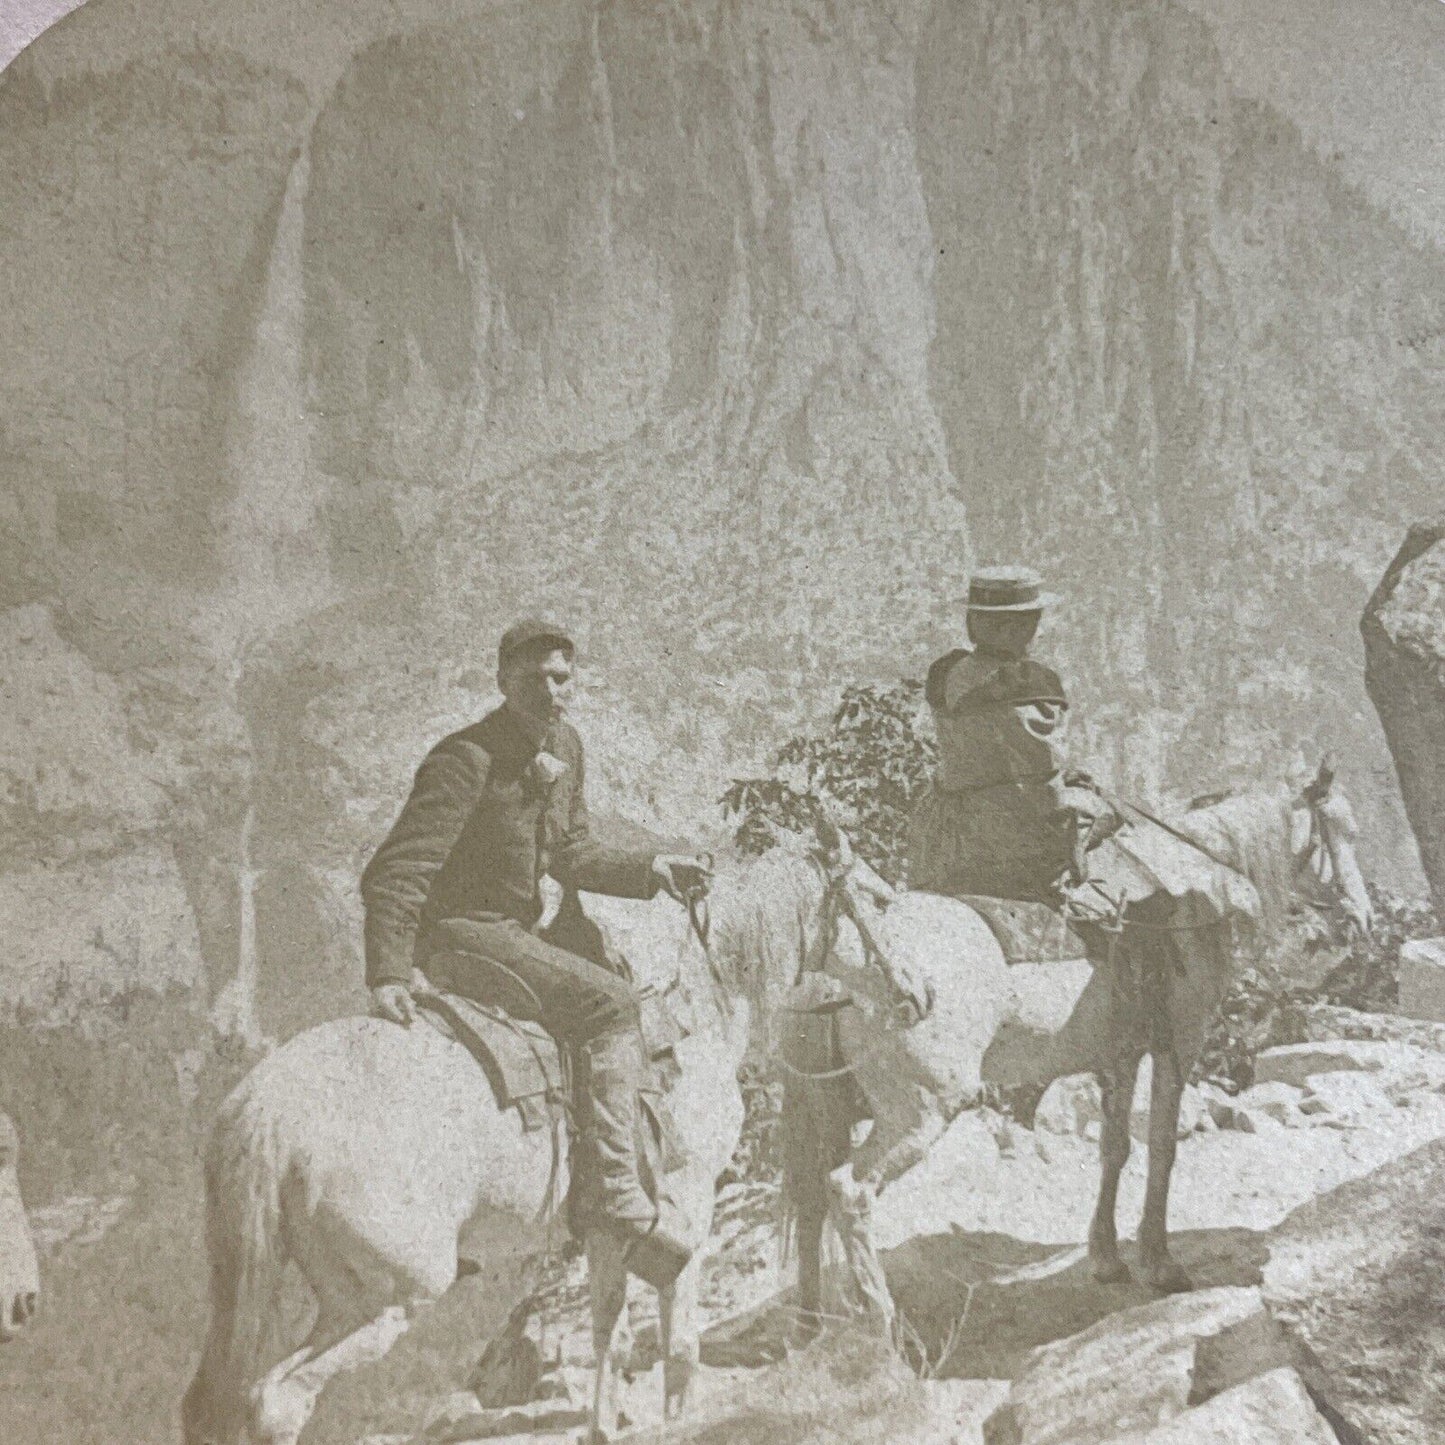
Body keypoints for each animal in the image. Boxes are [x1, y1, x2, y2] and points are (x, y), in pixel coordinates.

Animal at [183, 849, 838, 1445]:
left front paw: (605, 1423)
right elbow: (677, 1337)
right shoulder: (688, 1207)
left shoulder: (608, 1229)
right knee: (279, 1399)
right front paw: (678, 1416)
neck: (689, 1015)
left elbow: (608, 1326)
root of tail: (268, 1108)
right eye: (859, 900)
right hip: (384, 1297)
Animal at [786, 768, 1369, 1329]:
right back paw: (880, 1327)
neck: (1189, 896)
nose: (1363, 917)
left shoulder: (1120, 1055)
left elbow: (1115, 1148)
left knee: (812, 1197)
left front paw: (1107, 1257)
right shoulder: (1179, 1043)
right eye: (1343, 830)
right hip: (921, 1110)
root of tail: (843, 964)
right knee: (850, 1192)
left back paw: (813, 1324)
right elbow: (1162, 1145)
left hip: (835, 1108)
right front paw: (1158, 1262)